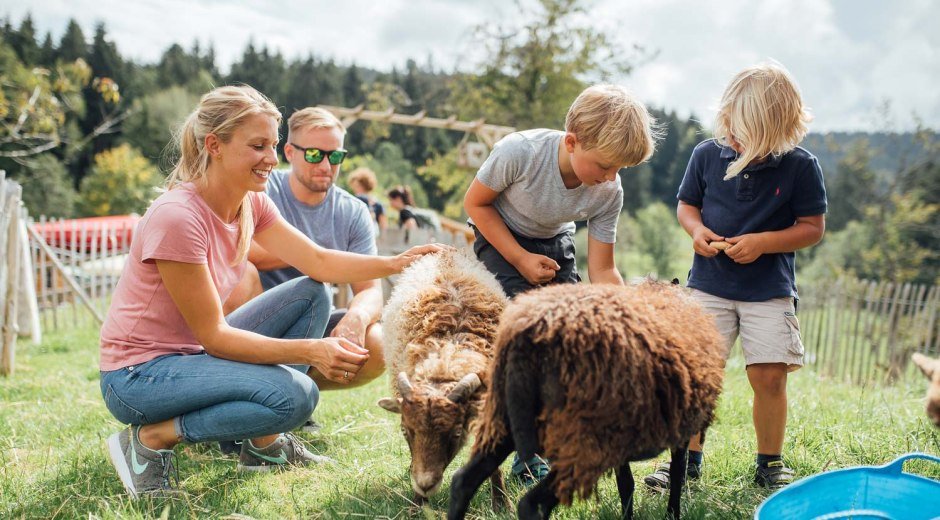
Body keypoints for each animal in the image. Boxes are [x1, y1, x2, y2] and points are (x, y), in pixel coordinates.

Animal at [376, 250, 510, 502]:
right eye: (405, 431)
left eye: (456, 432)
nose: (425, 484)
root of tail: (444, 252)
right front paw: (418, 503)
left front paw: (501, 503)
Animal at [448, 280, 728, 520]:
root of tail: (530, 339)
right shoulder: (679, 430)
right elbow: (677, 475)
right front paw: (673, 514)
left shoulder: (622, 440)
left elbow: (626, 485)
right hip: (583, 437)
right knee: (532, 503)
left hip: (506, 418)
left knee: (463, 482)